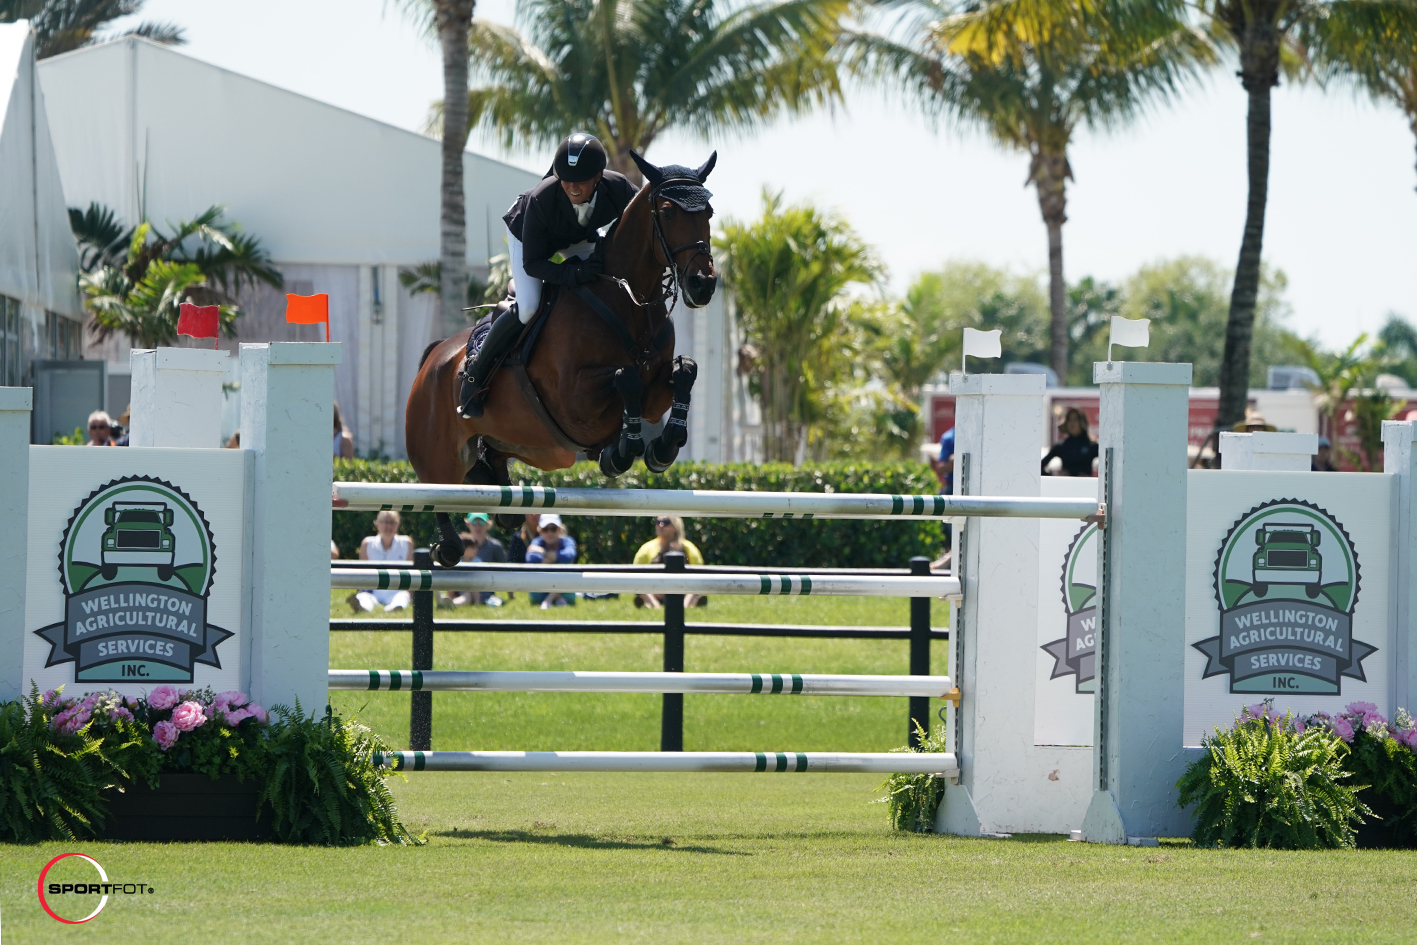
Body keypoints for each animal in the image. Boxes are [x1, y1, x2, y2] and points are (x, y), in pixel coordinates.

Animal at [408, 151, 719, 566]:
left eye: (709, 212)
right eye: (667, 213)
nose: (703, 284)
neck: (628, 301)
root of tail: (435, 355)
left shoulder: (654, 393)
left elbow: (684, 372)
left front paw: (661, 448)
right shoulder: (574, 400)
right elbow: (626, 378)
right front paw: (623, 451)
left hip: (520, 444)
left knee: (489, 466)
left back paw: (497, 494)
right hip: (438, 450)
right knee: (436, 489)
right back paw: (448, 544)